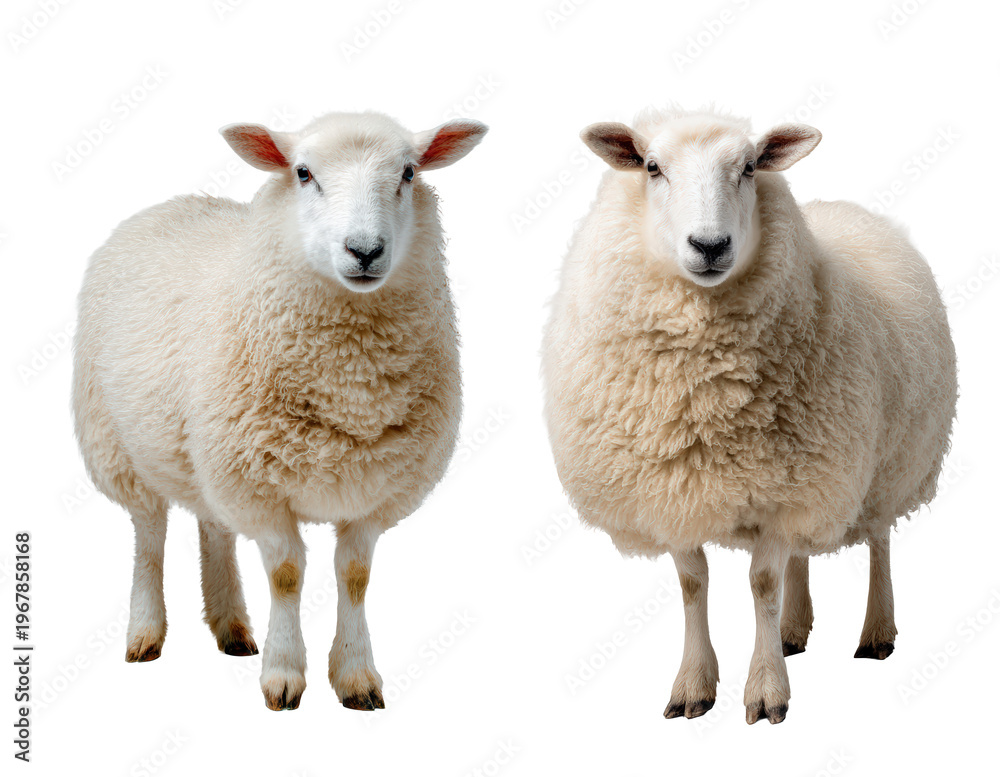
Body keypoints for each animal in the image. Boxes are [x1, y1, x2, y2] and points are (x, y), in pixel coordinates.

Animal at [72, 111, 487, 711]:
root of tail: (173, 201)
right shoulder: (260, 488)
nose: (365, 250)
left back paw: (231, 627)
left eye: (409, 172)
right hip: (118, 443)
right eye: (303, 173)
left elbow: (355, 576)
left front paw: (356, 676)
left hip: (208, 453)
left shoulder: (373, 490)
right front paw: (284, 675)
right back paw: (145, 632)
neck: (350, 380)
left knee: (213, 527)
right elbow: (287, 574)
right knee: (148, 535)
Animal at [541, 107, 957, 725]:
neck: (704, 397)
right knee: (802, 557)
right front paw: (694, 684)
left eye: (750, 168)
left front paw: (766, 690)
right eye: (652, 167)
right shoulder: (676, 490)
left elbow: (762, 582)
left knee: (879, 539)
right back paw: (792, 630)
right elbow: (694, 584)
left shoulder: (788, 492)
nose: (710, 245)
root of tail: (845, 208)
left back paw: (876, 633)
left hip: (881, 464)